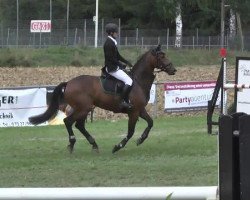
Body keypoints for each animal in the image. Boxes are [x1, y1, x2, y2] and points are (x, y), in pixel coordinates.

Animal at [29, 45, 177, 154]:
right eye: (161, 56)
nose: (173, 69)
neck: (138, 81)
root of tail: (69, 83)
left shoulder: (140, 110)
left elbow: (150, 123)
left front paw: (141, 139)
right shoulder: (134, 112)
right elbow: (130, 132)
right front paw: (118, 146)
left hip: (84, 109)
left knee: (79, 125)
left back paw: (94, 145)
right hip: (83, 108)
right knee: (69, 121)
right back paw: (72, 143)